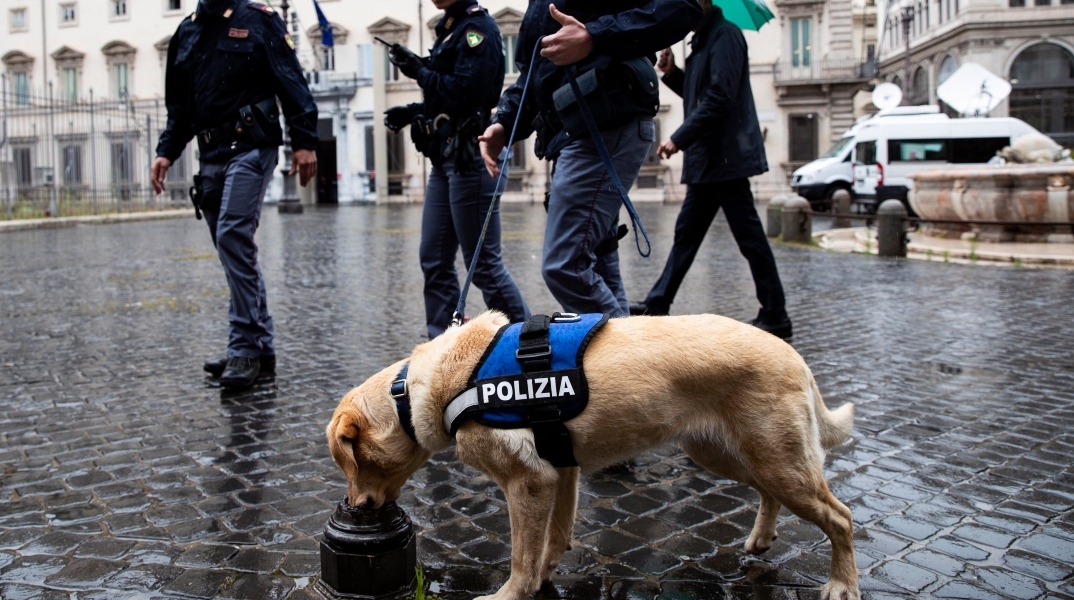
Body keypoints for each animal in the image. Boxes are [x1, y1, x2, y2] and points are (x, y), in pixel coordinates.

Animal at [322, 311, 859, 596]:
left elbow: (522, 555)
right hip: (730, 454)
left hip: (776, 460)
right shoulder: (560, 472)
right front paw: (545, 578)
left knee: (841, 518)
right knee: (770, 494)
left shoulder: (528, 482)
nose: (355, 507)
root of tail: (793, 355)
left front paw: (511, 593)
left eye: (352, 462)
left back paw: (842, 584)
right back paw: (762, 538)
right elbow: (553, 540)